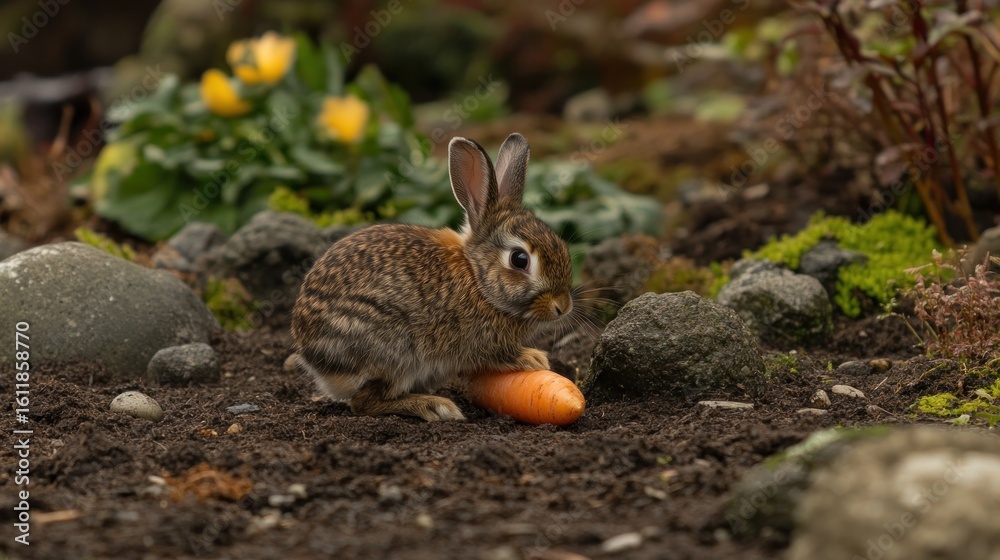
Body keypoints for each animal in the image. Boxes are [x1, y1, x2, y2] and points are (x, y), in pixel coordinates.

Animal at [288, 133, 574, 421]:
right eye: (520, 259)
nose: (562, 307)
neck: (476, 278)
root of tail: (313, 357)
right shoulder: (477, 342)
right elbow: (496, 354)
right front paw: (533, 358)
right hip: (395, 353)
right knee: (363, 402)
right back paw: (435, 406)